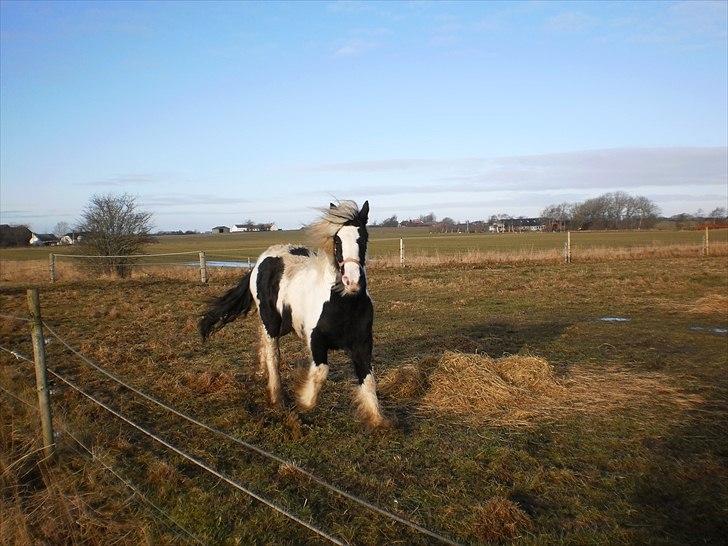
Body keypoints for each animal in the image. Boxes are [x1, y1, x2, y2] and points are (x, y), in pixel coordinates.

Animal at [193, 199, 386, 424]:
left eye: (363, 238)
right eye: (337, 241)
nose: (352, 282)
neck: (343, 304)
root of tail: (261, 261)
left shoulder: (362, 344)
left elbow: (368, 380)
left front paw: (377, 419)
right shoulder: (316, 341)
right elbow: (320, 372)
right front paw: (302, 399)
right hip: (271, 322)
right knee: (273, 355)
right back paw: (276, 396)